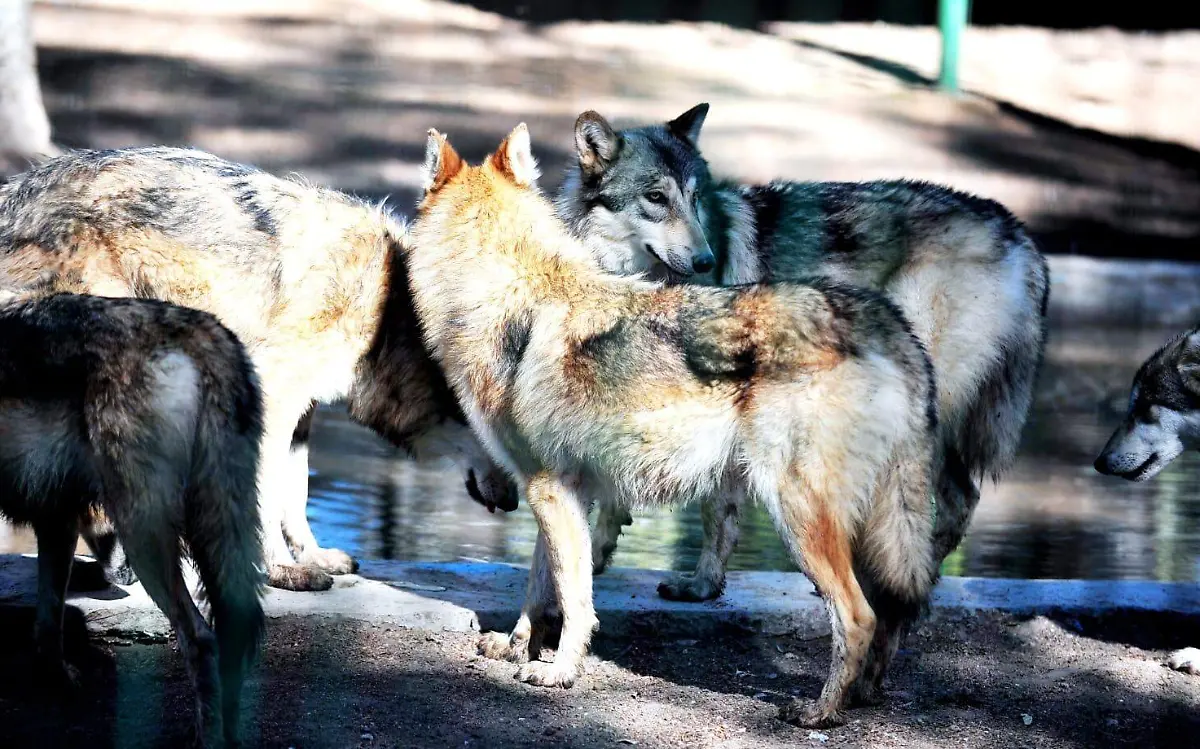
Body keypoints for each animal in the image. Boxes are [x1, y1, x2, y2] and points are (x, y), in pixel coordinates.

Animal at [0, 146, 517, 592]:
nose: (515, 502)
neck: (386, 309)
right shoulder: (275, 395)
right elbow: (266, 496)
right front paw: (282, 571)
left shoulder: (303, 410)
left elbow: (297, 493)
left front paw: (314, 557)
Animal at [0, 292, 264, 748]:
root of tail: (203, 331)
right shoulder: (58, 517)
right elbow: (48, 622)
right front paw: (56, 682)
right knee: (234, 637)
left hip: (146, 537)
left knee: (200, 639)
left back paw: (206, 738)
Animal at [408, 123, 942, 726]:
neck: (508, 294)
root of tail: (887, 322)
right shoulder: (562, 492)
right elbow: (540, 585)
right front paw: (516, 644)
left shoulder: (548, 489)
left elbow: (574, 598)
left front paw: (559, 672)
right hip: (871, 524)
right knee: (894, 610)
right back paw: (864, 696)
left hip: (798, 516)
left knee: (858, 615)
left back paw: (821, 712)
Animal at [555, 103, 1050, 601]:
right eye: (656, 197)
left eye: (694, 199)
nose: (705, 260)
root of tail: (1017, 230)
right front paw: (594, 564)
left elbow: (716, 512)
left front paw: (702, 586)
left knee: (956, 499)